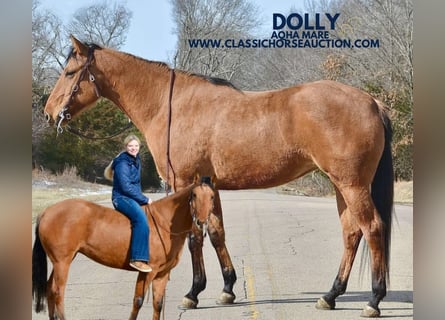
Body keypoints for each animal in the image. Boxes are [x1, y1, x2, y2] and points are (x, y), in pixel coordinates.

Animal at [32, 175, 216, 320]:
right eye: (194, 195)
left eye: (212, 197)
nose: (201, 222)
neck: (164, 222)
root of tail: (46, 212)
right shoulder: (147, 272)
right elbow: (138, 301)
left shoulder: (162, 274)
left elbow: (157, 304)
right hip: (62, 262)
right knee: (58, 292)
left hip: (61, 261)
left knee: (49, 289)